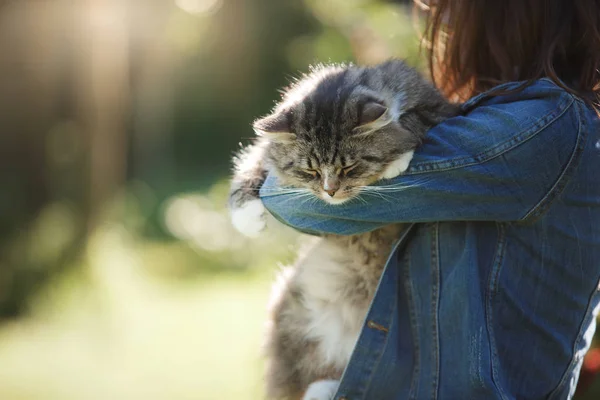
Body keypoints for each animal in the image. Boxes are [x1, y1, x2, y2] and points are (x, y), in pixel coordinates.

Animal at [227, 60, 458, 400]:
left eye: (349, 168)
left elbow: (414, 120)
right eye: (310, 170)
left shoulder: (441, 107)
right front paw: (247, 217)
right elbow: (254, 163)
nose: (330, 191)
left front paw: (396, 158)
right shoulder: (266, 151)